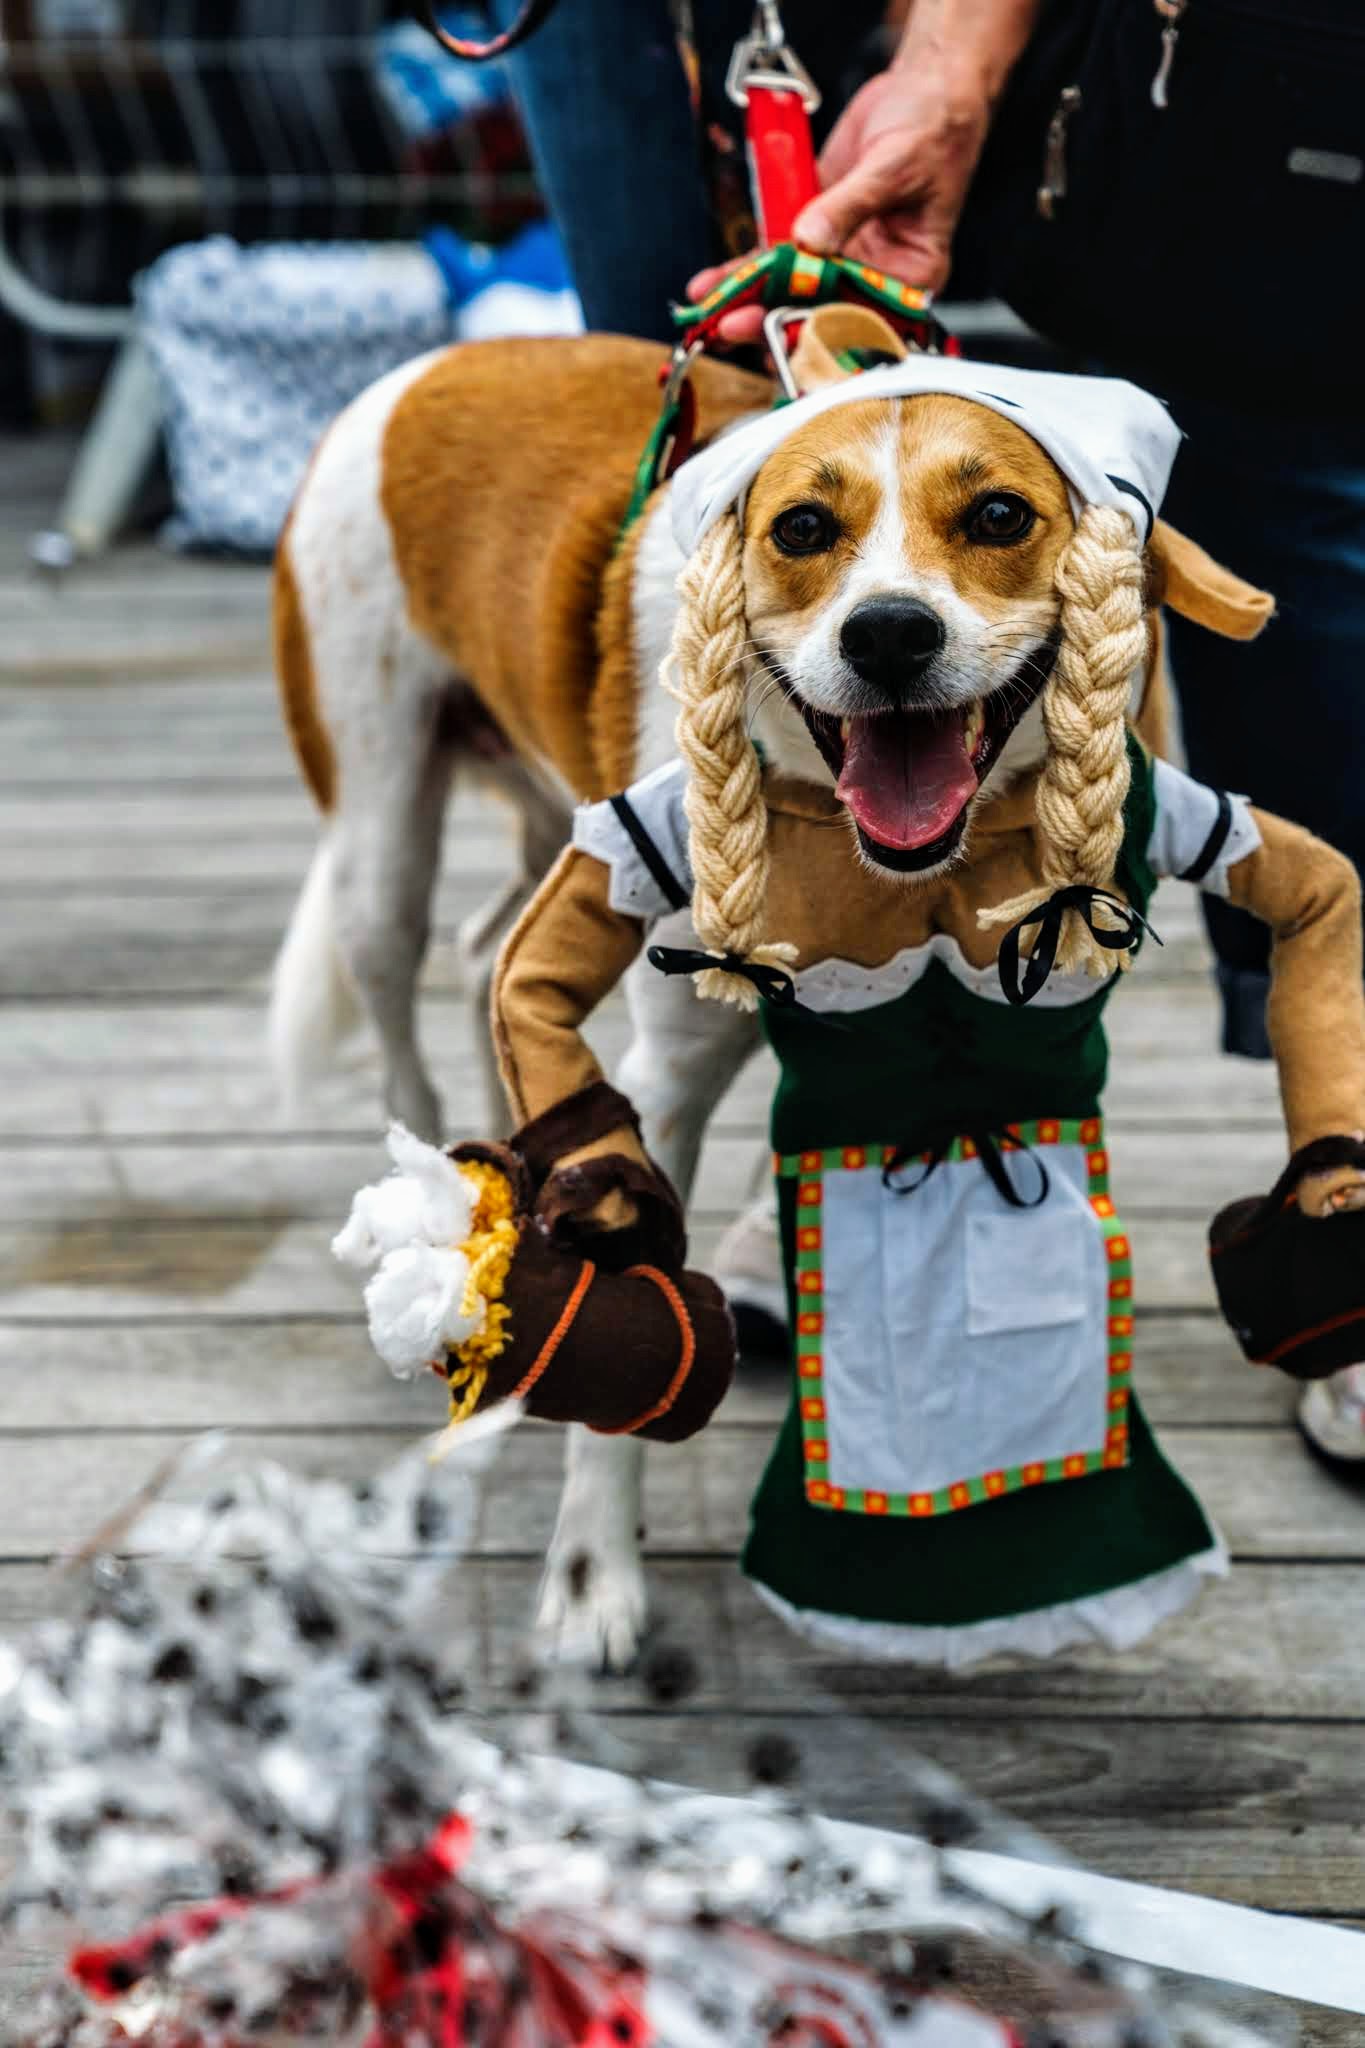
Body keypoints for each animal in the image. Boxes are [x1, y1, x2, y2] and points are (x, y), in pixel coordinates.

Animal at [272, 315, 1350, 1662]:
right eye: (798, 529)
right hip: (379, 834)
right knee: (407, 992)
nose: (887, 634)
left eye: (1000, 515)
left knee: (482, 955)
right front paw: (592, 1575)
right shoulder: (666, 1074)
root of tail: (440, 362)